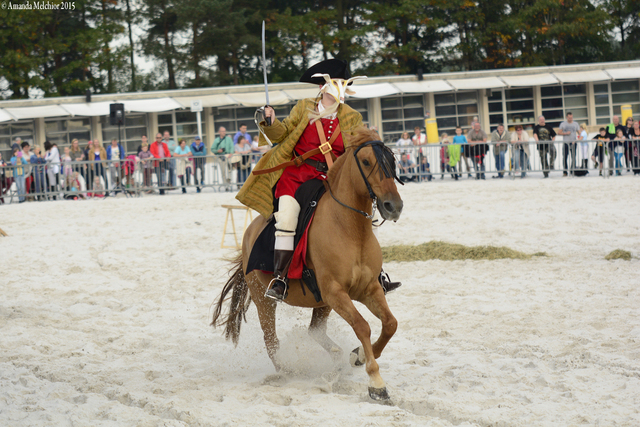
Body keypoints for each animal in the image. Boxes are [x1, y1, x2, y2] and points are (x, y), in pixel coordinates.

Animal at [215, 128, 404, 404]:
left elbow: (390, 324)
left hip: (321, 302)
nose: (394, 206)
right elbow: (363, 326)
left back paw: (335, 361)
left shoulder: (369, 289)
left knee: (314, 332)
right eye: (367, 162)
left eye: (392, 161)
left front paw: (358, 355)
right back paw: (289, 372)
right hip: (265, 300)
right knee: (271, 341)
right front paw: (376, 383)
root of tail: (250, 231)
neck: (350, 229)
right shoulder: (335, 292)